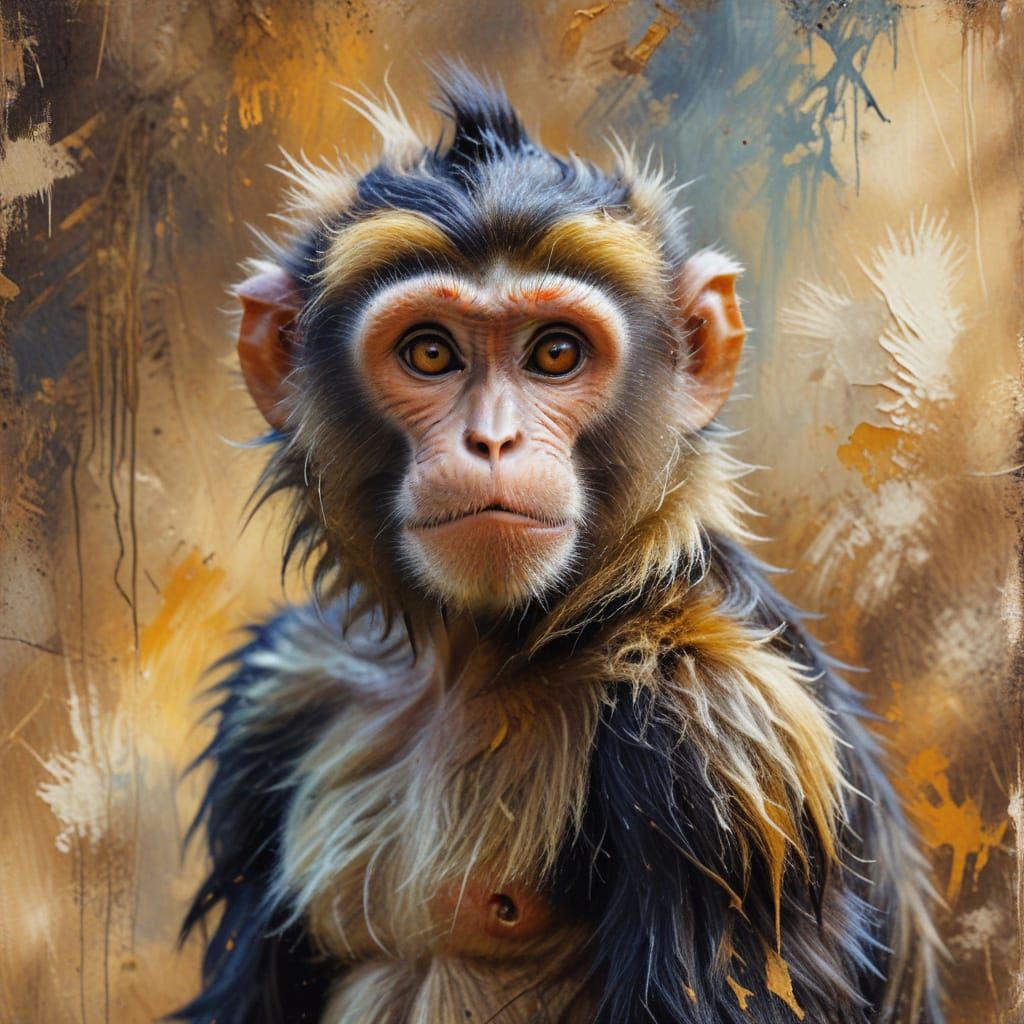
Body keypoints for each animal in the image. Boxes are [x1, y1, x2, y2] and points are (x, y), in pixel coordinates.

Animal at [176, 68, 944, 1024]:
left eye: (554, 354)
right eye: (429, 353)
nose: (493, 440)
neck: (499, 654)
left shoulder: (722, 739)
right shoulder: (285, 687)